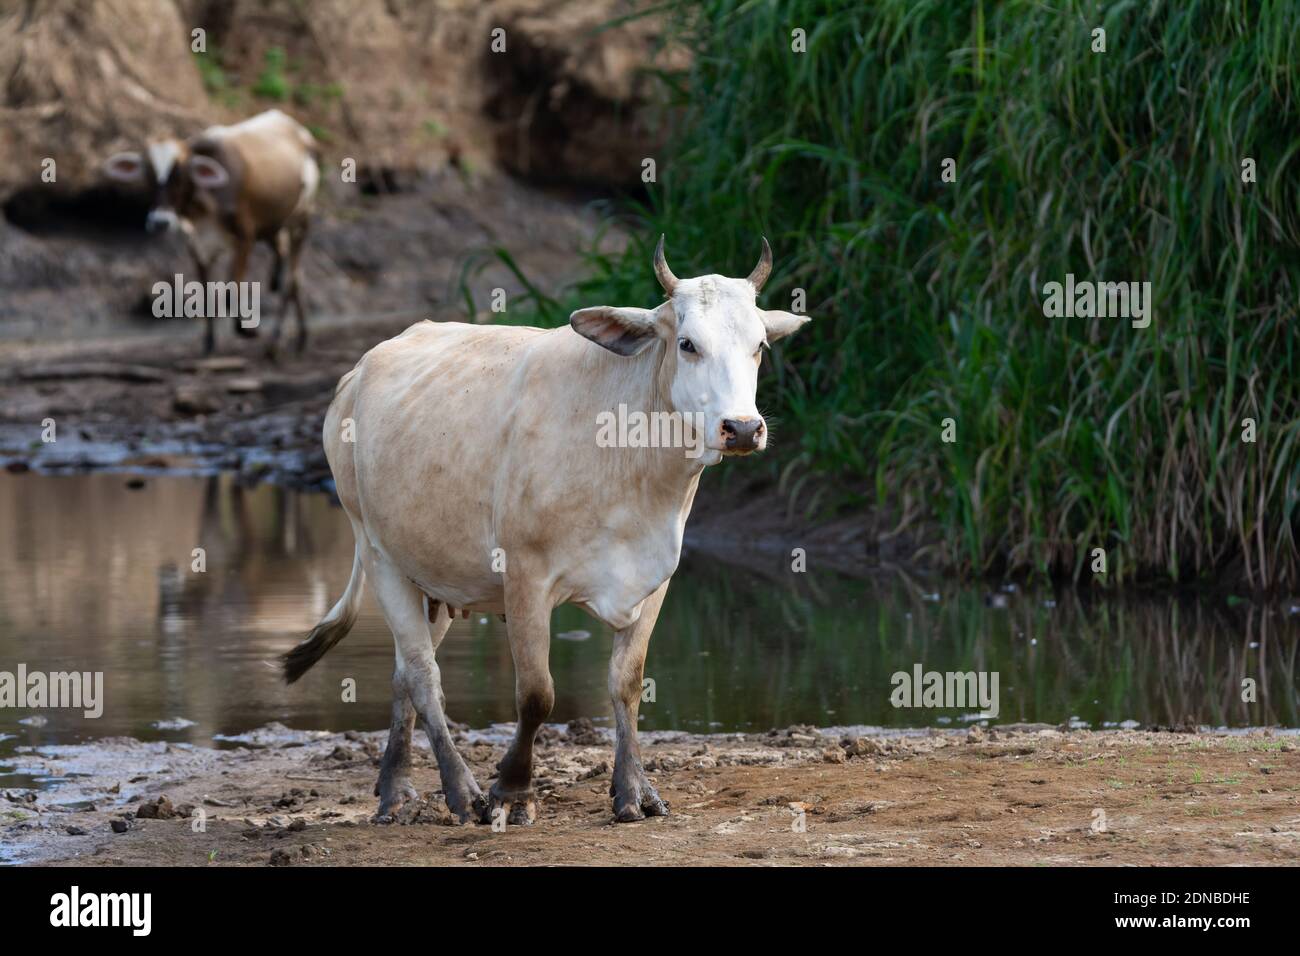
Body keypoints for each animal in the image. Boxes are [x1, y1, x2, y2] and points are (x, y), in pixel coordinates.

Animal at [284, 238, 811, 822]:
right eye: (688, 343)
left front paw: (635, 791)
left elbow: (626, 684)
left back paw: (395, 786)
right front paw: (512, 791)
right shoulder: (525, 577)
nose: (742, 428)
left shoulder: (656, 578)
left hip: (432, 576)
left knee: (405, 673)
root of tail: (357, 373)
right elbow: (537, 694)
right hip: (379, 554)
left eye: (759, 346)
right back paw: (459, 790)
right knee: (423, 675)